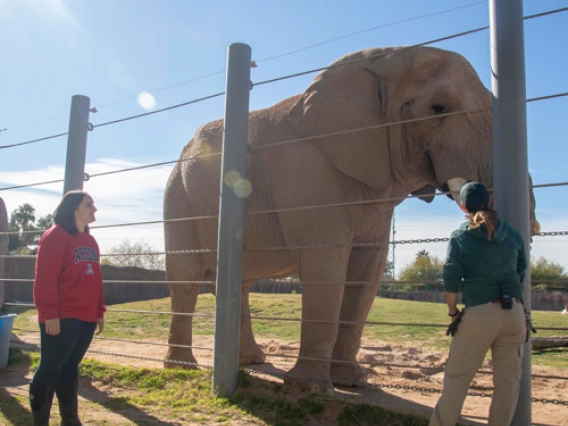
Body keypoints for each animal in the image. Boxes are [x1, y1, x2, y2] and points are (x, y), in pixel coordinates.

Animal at [162, 45, 540, 392]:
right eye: (438, 108)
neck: (381, 60)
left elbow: (367, 271)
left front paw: (352, 382)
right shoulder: (307, 171)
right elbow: (326, 264)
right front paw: (309, 389)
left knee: (237, 282)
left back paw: (251, 362)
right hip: (177, 197)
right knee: (185, 277)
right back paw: (182, 367)